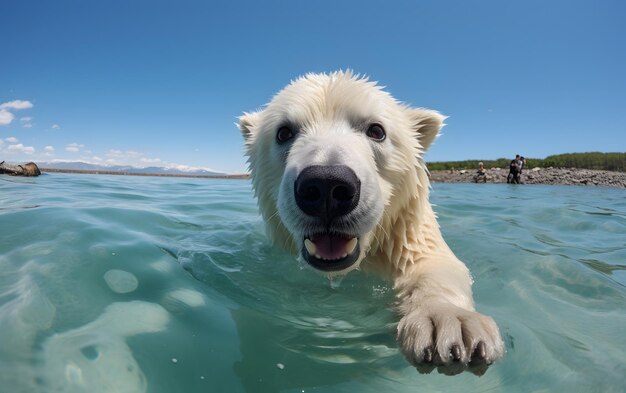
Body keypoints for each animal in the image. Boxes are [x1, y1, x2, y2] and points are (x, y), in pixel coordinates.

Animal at [236, 70, 504, 374]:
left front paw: (450, 325)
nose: (326, 185)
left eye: (376, 130)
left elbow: (438, 264)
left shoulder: (408, 236)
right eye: (284, 132)